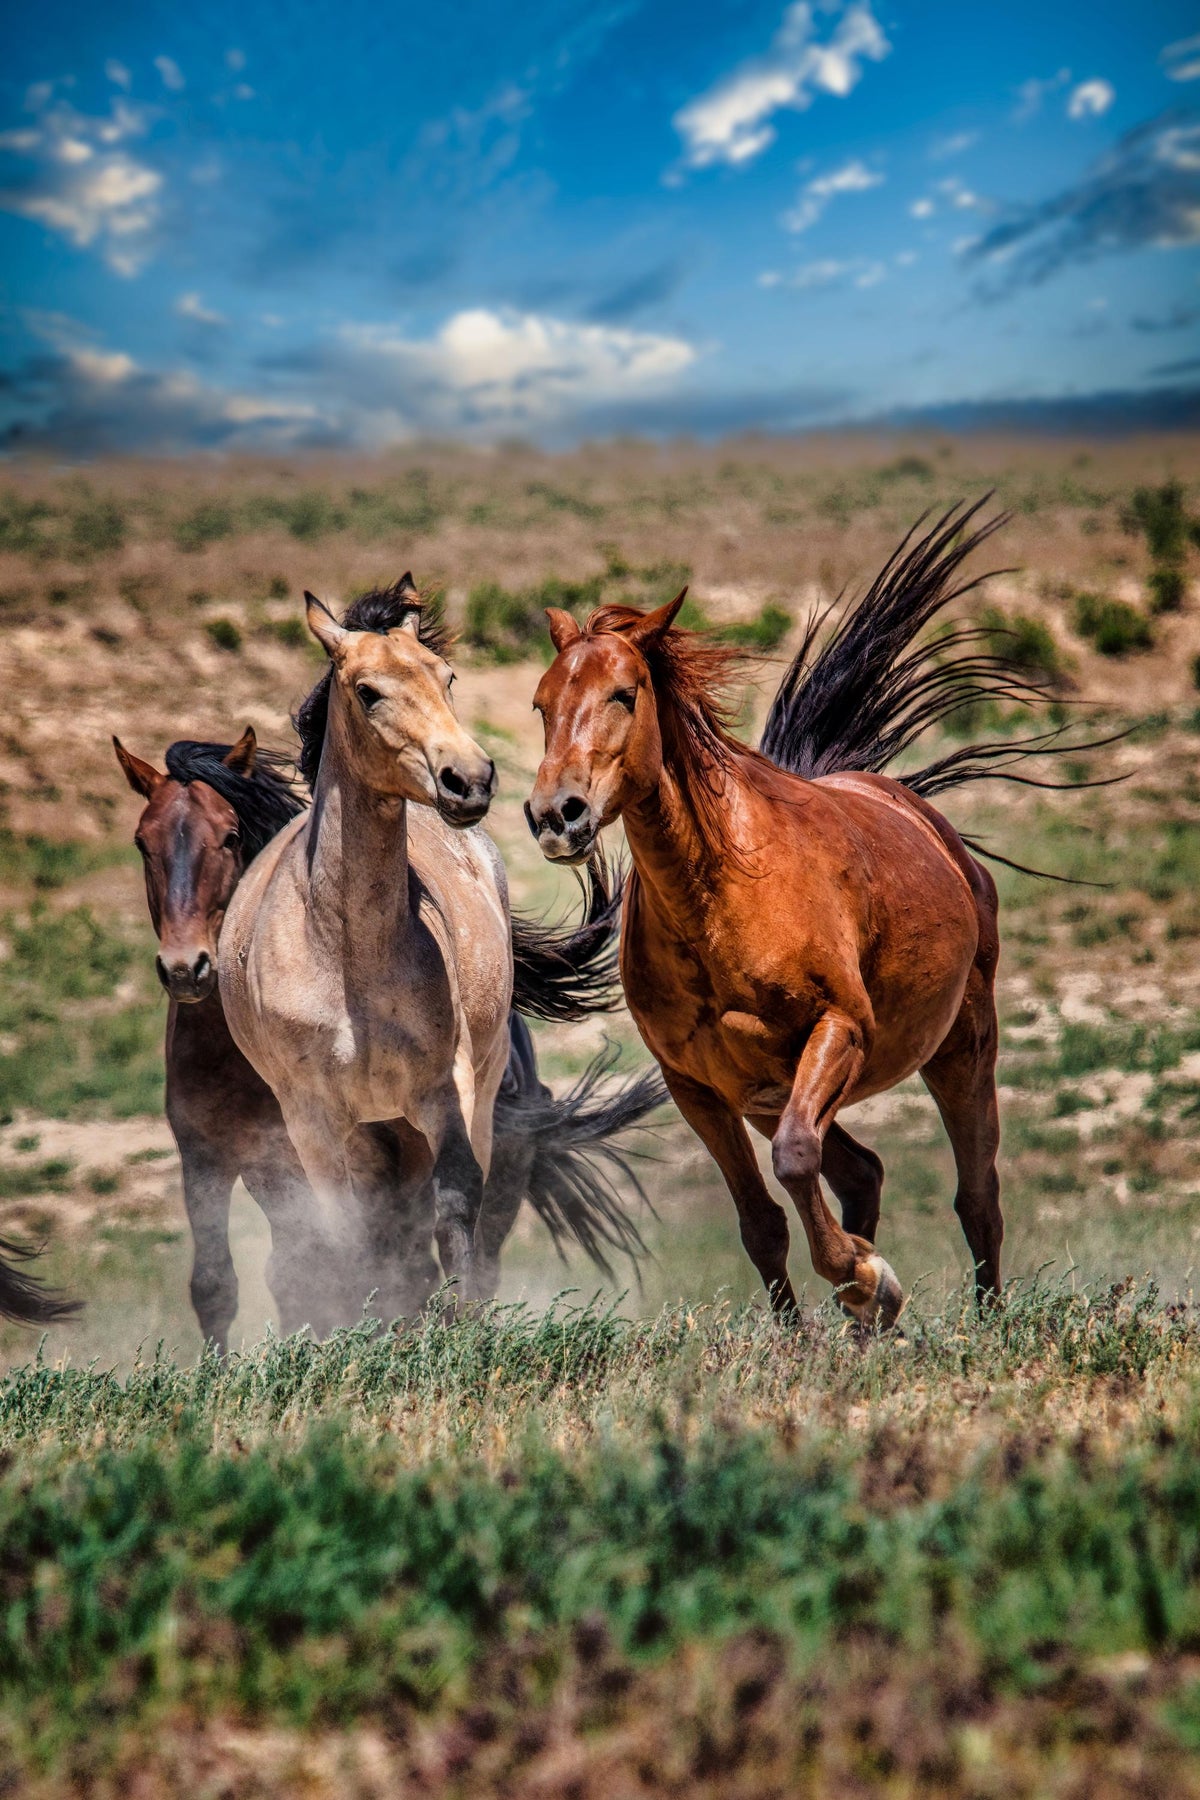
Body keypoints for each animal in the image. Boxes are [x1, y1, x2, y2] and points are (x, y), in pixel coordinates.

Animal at [117, 716, 660, 1341]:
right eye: (143, 842)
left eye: (230, 836)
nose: (187, 968)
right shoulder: (206, 1157)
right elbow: (221, 1285)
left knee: (450, 1261)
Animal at [219, 578, 661, 1316]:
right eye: (368, 691)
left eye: (446, 676)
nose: (470, 779)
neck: (349, 958)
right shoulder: (314, 1117)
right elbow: (349, 1237)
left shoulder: (441, 1093)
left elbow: (454, 1208)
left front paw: (459, 1326)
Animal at [526, 504, 1091, 1327]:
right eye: (542, 704)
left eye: (624, 694)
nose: (555, 815)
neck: (719, 899)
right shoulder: (697, 1087)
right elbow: (761, 1222)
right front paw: (823, 1319)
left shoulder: (840, 1030)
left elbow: (796, 1159)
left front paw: (866, 1280)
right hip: (767, 1092)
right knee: (863, 1173)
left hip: (962, 1046)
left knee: (976, 1193)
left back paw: (981, 1320)